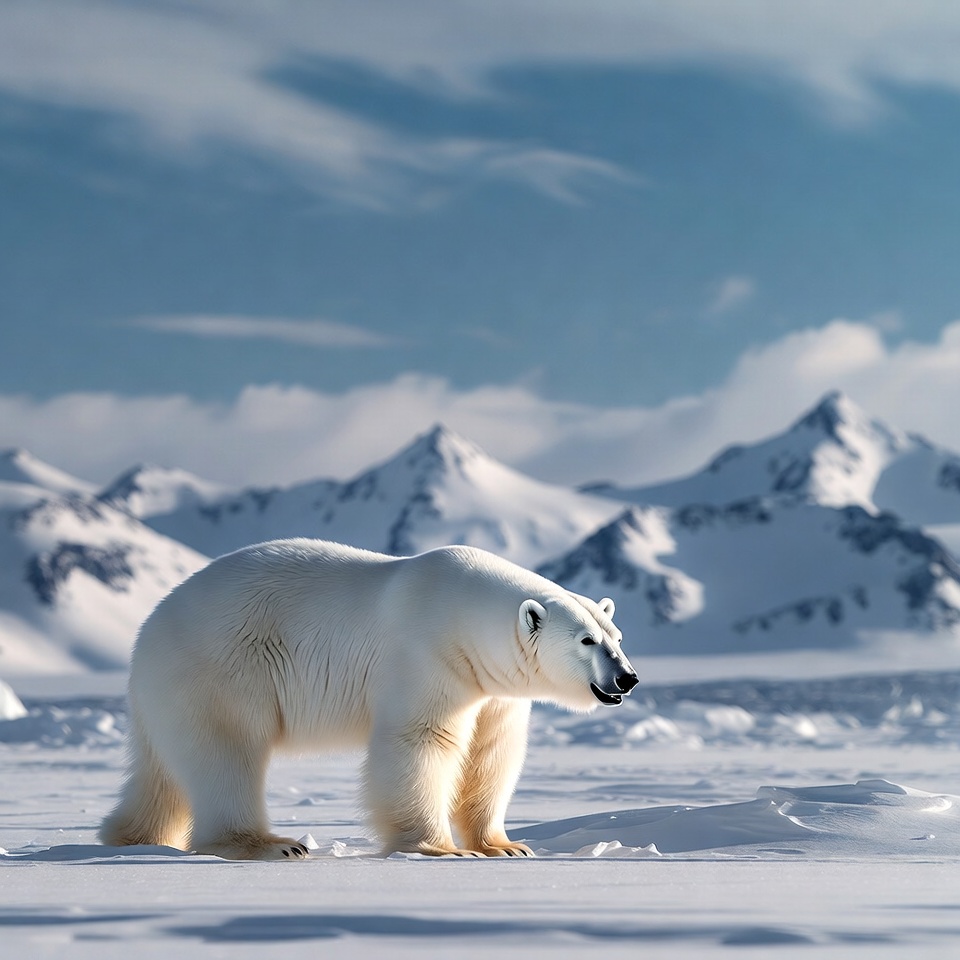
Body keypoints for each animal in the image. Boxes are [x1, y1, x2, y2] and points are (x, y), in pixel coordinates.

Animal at [99, 538, 638, 860]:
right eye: (586, 640)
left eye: (616, 636)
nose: (627, 678)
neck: (464, 614)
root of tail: (148, 631)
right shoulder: (428, 656)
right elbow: (421, 741)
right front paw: (441, 848)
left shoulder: (492, 688)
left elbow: (492, 752)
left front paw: (506, 846)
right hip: (220, 668)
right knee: (227, 752)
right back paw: (273, 845)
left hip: (171, 690)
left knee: (163, 770)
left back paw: (132, 836)